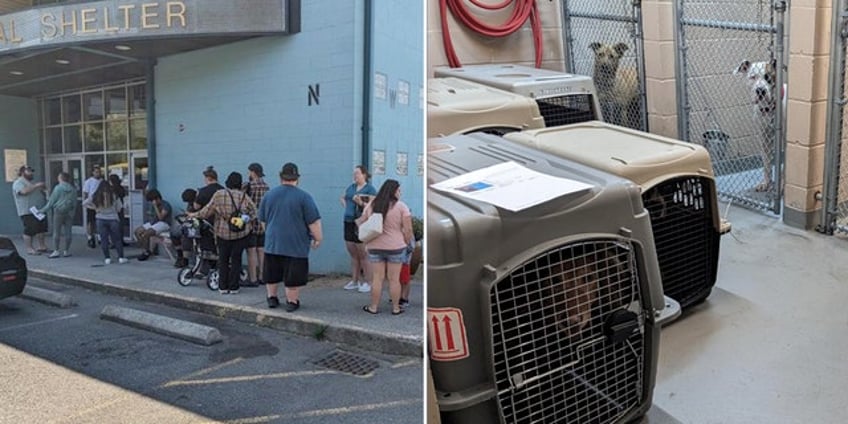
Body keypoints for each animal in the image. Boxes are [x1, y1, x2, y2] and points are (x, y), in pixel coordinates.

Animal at [732, 57, 784, 192]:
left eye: (768, 77)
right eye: (752, 77)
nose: (760, 90)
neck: (769, 109)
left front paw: (782, 185)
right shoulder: (764, 138)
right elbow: (766, 163)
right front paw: (766, 183)